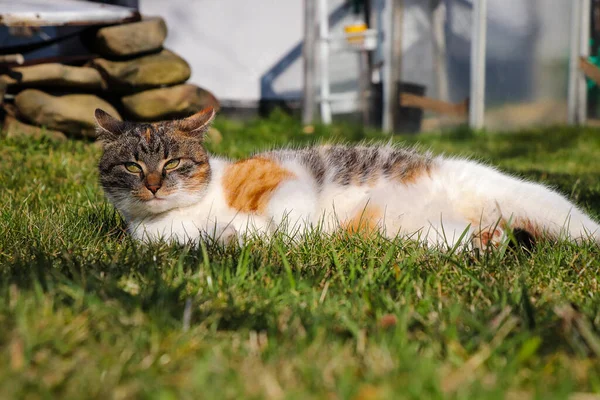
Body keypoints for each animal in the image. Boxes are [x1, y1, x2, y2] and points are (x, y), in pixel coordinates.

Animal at [94, 107, 600, 250]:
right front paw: (240, 235)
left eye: (173, 162)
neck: (191, 209)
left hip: (526, 198)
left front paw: (295, 237)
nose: (154, 185)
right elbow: (222, 238)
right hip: (418, 233)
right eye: (132, 166)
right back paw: (487, 241)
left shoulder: (280, 174)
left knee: (579, 225)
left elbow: (287, 211)